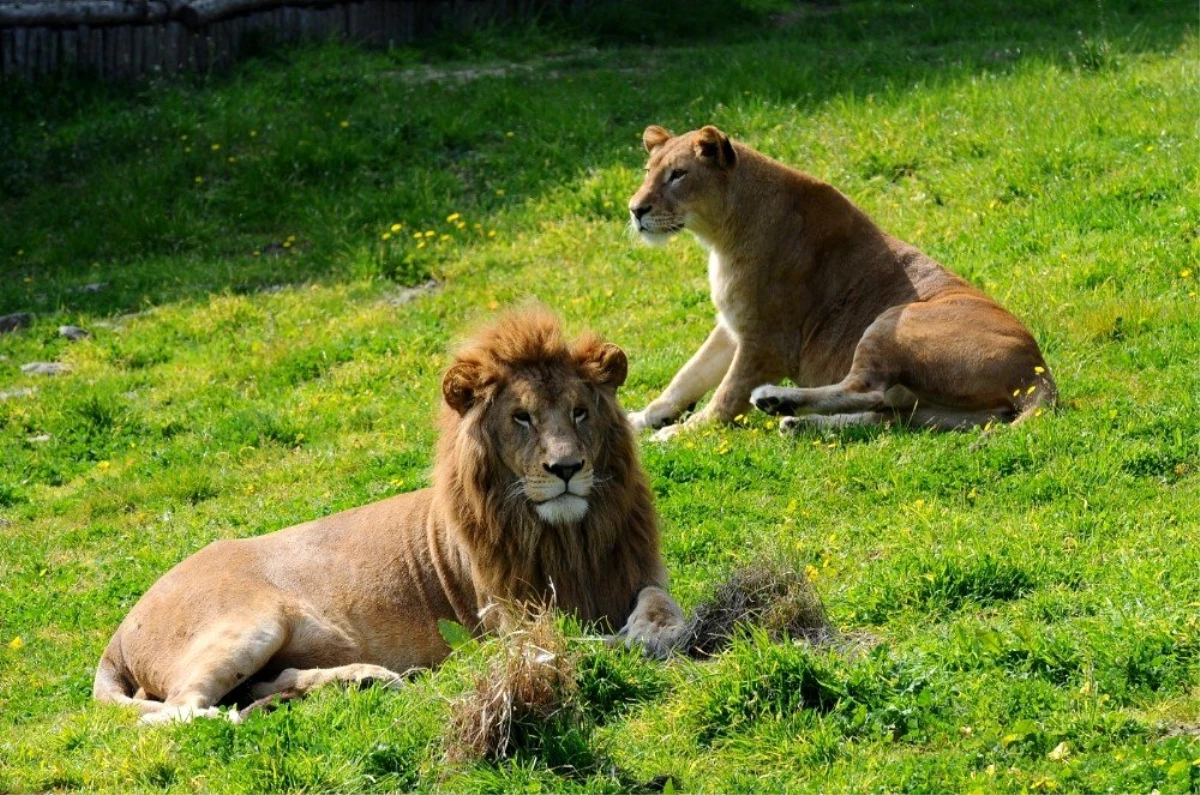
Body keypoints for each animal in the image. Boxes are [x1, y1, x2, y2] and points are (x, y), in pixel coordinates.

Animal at [96, 309, 686, 720]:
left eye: (580, 412)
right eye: (521, 417)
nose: (566, 467)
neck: (569, 538)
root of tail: (118, 633)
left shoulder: (639, 572)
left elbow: (663, 609)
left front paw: (650, 631)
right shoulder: (509, 616)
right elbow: (558, 643)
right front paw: (608, 644)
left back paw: (357, 681)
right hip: (249, 625)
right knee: (179, 713)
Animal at [624, 123, 1056, 441]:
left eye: (678, 175)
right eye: (648, 173)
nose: (635, 209)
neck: (720, 234)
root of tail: (1038, 373)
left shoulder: (768, 342)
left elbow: (726, 396)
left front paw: (679, 435)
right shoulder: (731, 327)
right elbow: (687, 377)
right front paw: (640, 418)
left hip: (895, 318)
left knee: (867, 388)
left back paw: (777, 401)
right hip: (934, 411)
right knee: (885, 415)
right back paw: (795, 421)